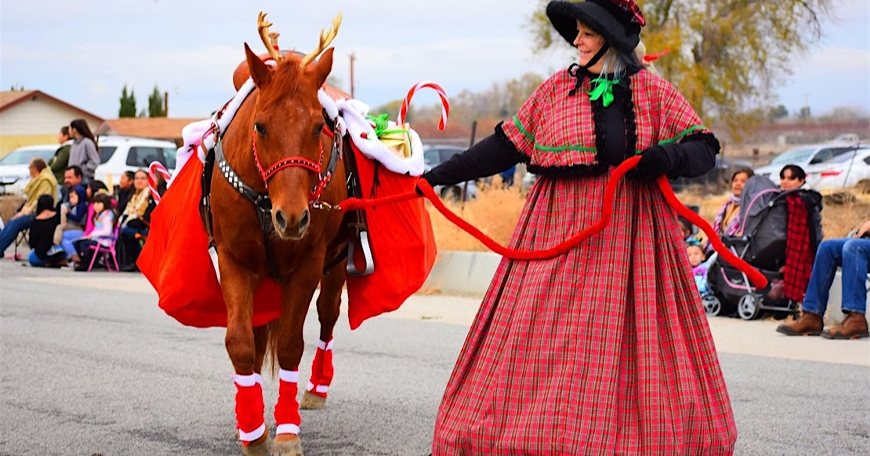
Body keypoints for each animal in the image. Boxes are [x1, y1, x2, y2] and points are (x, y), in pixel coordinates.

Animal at [209, 13, 346, 456]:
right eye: (261, 126)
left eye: (319, 127)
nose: (293, 218)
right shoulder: (234, 261)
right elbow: (240, 342)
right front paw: (253, 432)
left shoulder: (308, 264)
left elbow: (289, 344)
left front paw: (286, 431)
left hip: (336, 262)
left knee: (328, 315)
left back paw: (317, 389)